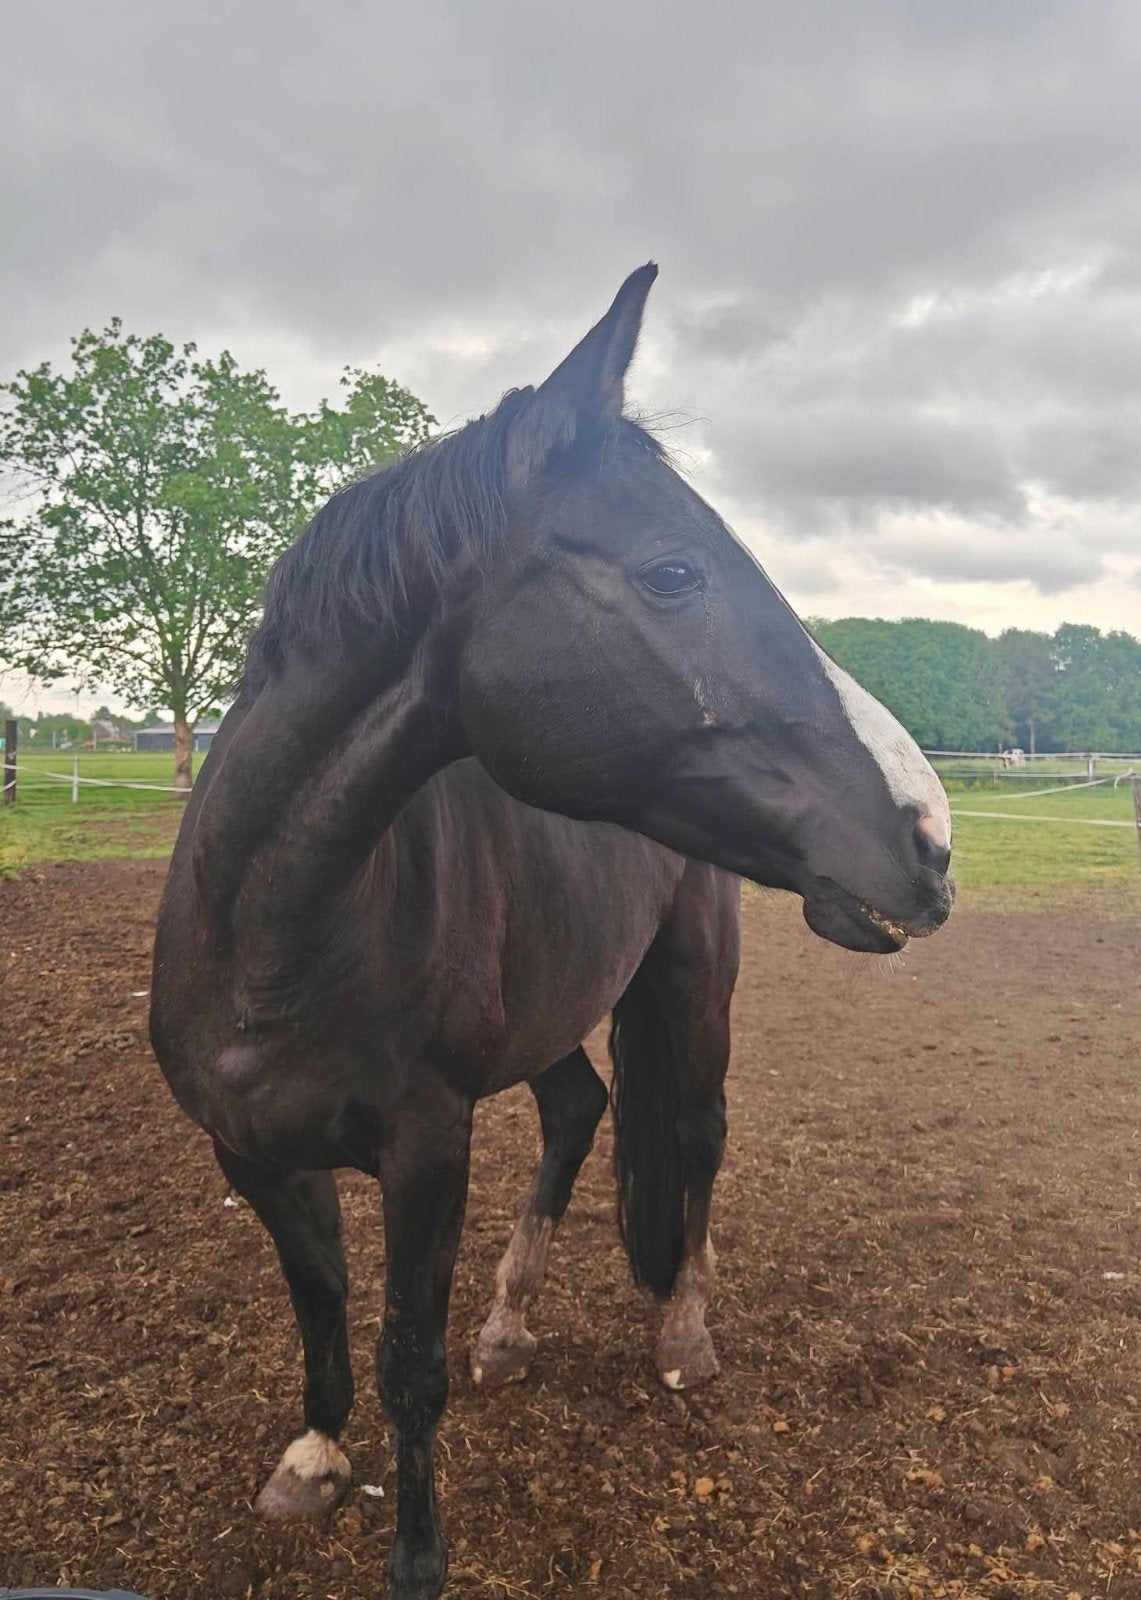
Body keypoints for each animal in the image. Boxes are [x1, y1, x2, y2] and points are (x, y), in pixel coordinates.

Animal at [150, 264, 954, 1600]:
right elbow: (318, 1302)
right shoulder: (248, 1149)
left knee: (695, 1133)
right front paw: (312, 1457)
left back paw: (682, 1324)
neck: (277, 936)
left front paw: (416, 1556)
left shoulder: (428, 1148)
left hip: (693, 983)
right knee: (582, 1108)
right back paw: (511, 1323)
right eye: (674, 571)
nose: (931, 838)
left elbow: (405, 1358)